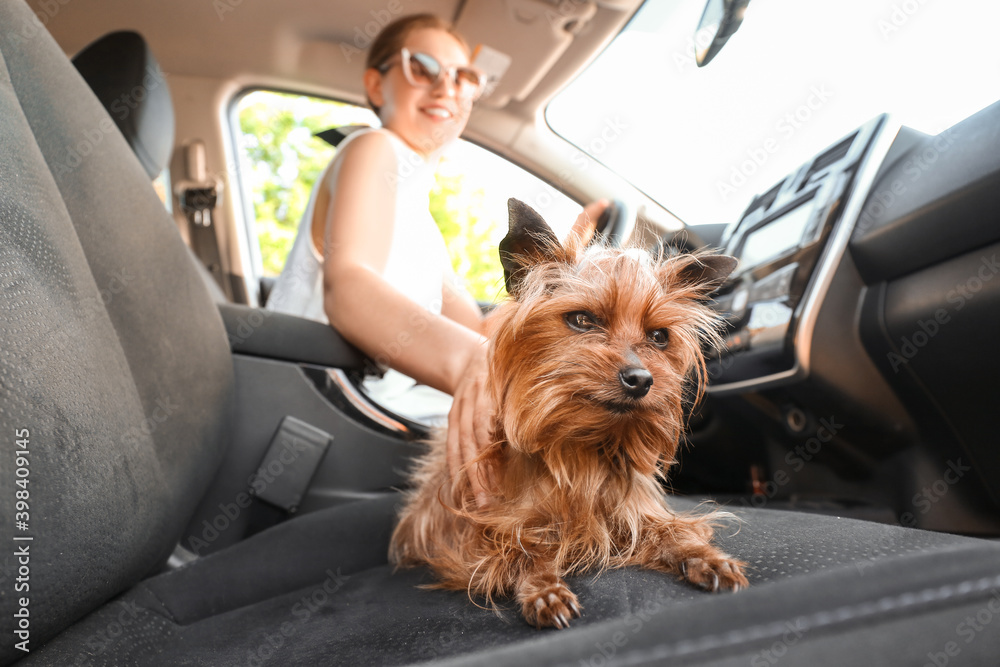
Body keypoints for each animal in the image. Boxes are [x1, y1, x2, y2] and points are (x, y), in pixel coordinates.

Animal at [388, 200, 744, 632]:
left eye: (659, 337)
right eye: (582, 319)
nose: (641, 379)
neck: (578, 445)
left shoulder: (632, 511)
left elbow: (670, 531)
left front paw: (705, 557)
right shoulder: (484, 528)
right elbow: (523, 549)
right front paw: (545, 589)